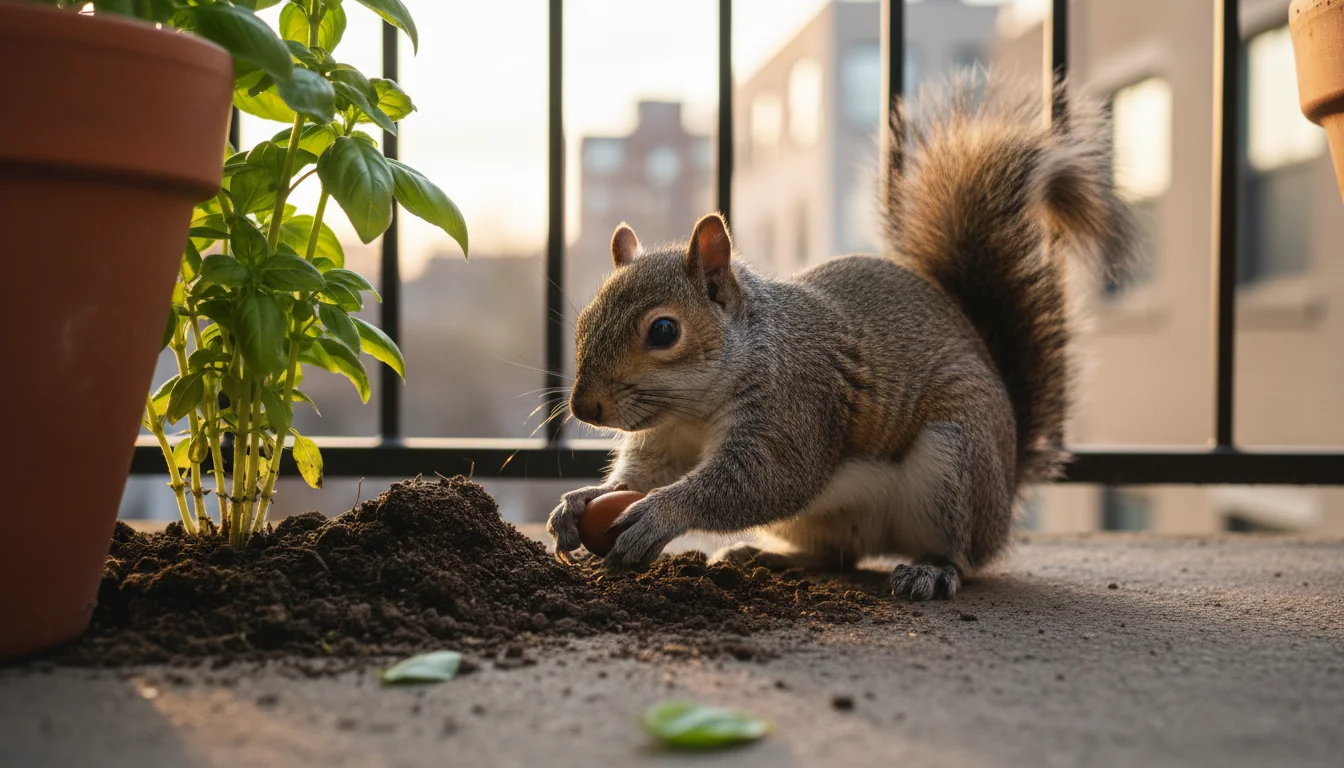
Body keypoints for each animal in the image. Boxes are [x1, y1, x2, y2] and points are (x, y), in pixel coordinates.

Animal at [547, 75, 1133, 600]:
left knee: (963, 554)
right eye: (583, 322)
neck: (696, 404)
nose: (584, 407)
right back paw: (763, 555)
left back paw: (931, 571)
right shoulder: (669, 437)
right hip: (823, 518)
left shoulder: (796, 403)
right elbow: (647, 471)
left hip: (956, 463)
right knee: (834, 554)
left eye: (664, 330)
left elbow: (764, 480)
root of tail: (1007, 490)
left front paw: (660, 513)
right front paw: (584, 499)